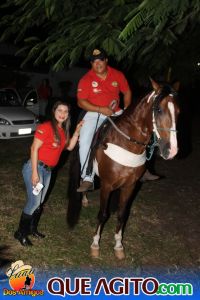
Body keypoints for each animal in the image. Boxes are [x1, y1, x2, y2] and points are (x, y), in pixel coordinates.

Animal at [67, 79, 180, 260]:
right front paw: (95, 244)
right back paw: (83, 191)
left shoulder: (130, 186)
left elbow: (122, 215)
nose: (172, 150)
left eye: (178, 111)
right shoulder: (106, 185)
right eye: (159, 110)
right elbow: (103, 214)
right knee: (83, 176)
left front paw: (119, 246)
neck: (127, 142)